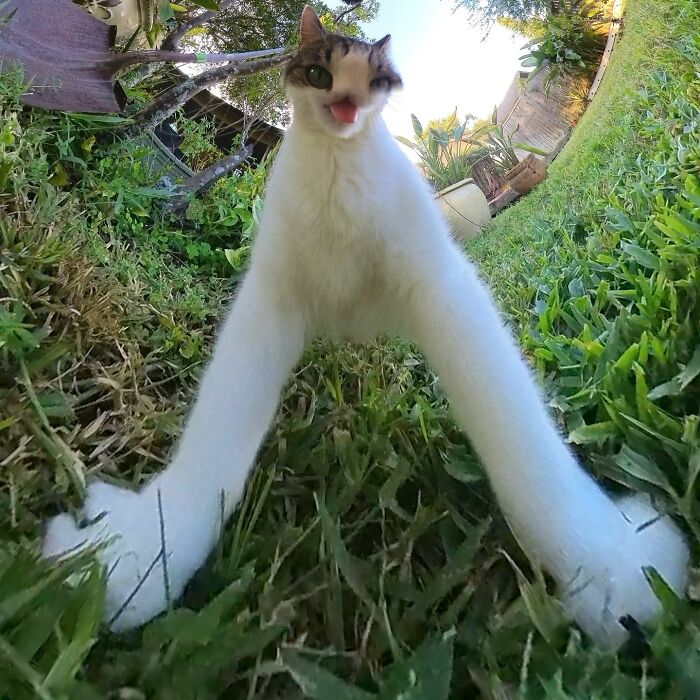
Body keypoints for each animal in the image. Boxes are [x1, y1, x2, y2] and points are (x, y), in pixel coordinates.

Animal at [43, 6, 688, 652]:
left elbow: (521, 440)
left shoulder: (441, 285)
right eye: (321, 73)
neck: (338, 172)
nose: (348, 102)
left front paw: (604, 559)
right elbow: (216, 439)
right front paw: (149, 544)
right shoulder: (270, 298)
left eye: (375, 78)